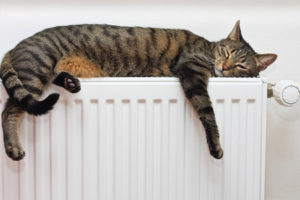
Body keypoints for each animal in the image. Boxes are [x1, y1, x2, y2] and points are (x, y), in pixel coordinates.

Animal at [0, 20, 276, 161]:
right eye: (226, 52)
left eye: (241, 65)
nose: (224, 66)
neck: (209, 50)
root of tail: (15, 46)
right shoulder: (192, 72)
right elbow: (208, 112)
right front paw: (216, 146)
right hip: (36, 72)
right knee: (10, 111)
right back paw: (13, 148)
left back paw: (70, 82)